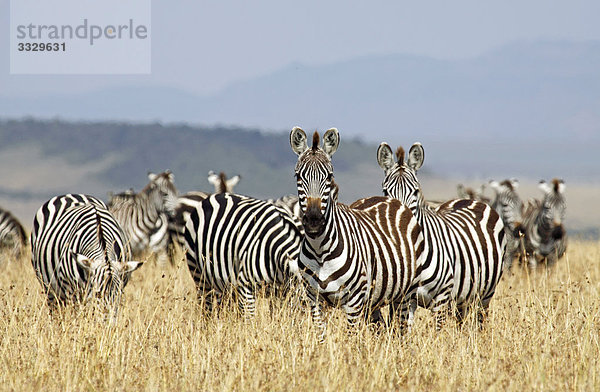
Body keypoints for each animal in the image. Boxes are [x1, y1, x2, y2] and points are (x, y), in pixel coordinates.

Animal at [290, 128, 422, 336]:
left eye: (329, 176)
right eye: (298, 177)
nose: (314, 221)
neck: (320, 251)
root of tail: (393, 201)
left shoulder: (353, 302)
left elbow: (350, 339)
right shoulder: (314, 299)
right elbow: (321, 337)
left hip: (406, 292)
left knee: (400, 327)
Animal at [378, 142, 504, 326]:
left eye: (415, 191)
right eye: (386, 192)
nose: (399, 221)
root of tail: (469, 199)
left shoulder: (441, 298)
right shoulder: (404, 299)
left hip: (485, 294)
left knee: (480, 321)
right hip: (462, 298)